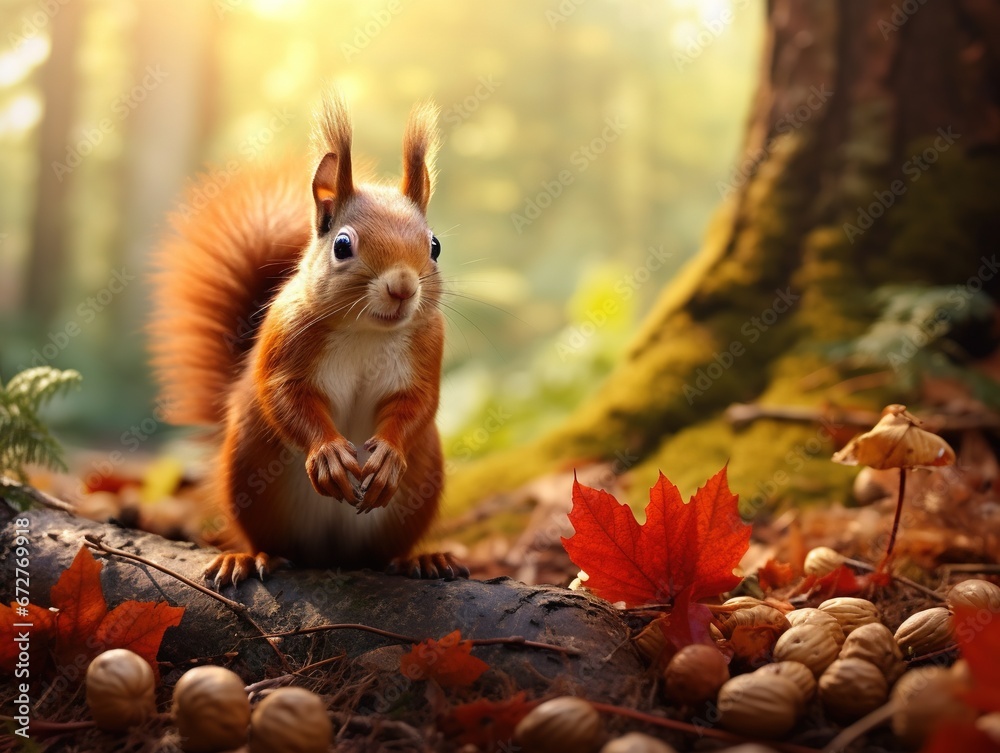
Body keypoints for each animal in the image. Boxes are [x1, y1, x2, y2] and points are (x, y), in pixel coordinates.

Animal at [149, 92, 466, 587]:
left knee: (387, 553)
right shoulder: (286, 338)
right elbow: (285, 398)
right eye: (342, 245)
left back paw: (420, 559)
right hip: (248, 477)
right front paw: (329, 454)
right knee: (268, 541)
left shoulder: (427, 346)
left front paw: (388, 456)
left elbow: (418, 404)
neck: (365, 332)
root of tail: (331, 555)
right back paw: (249, 558)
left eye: (434, 246)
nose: (402, 287)